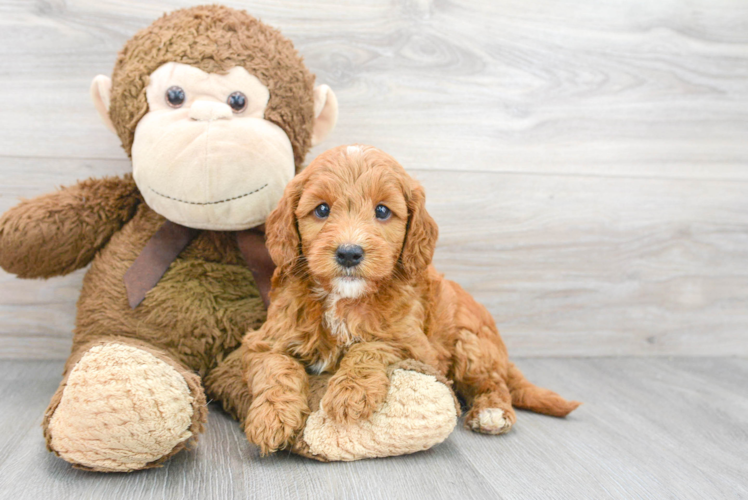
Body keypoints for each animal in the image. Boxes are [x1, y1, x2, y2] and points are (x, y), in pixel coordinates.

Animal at [243, 144, 580, 454]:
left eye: (382, 211)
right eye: (322, 210)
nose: (349, 253)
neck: (343, 299)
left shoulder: (417, 346)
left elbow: (371, 346)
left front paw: (351, 391)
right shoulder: (264, 339)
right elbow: (276, 366)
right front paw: (271, 417)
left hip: (471, 345)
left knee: (493, 382)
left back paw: (492, 412)